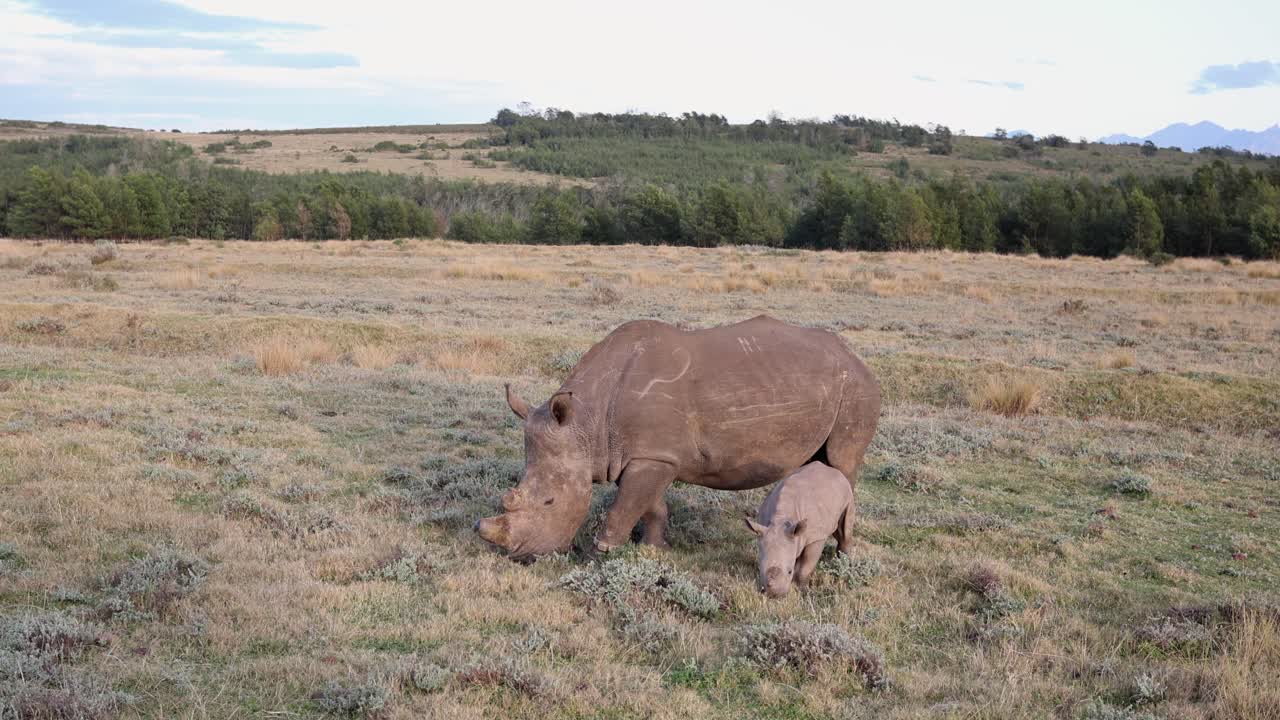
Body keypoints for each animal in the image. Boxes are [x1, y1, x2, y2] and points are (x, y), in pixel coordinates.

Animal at [475, 315, 880, 561]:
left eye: (550, 501)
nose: (523, 555)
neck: (585, 422)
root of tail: (854, 355)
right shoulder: (648, 455)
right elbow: (649, 505)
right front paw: (655, 549)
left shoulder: (652, 456)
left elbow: (622, 509)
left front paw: (598, 555)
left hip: (857, 389)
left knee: (843, 465)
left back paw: (842, 556)